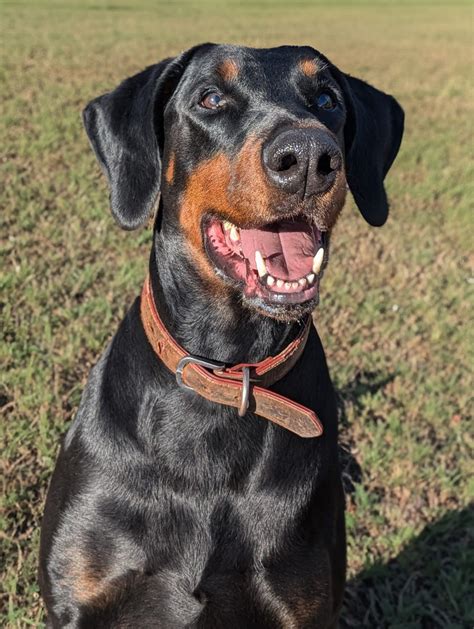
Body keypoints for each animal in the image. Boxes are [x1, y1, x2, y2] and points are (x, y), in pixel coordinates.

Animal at [39, 41, 404, 624]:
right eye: (209, 98)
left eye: (327, 98)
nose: (309, 156)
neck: (227, 372)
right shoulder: (79, 599)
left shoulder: (302, 603)